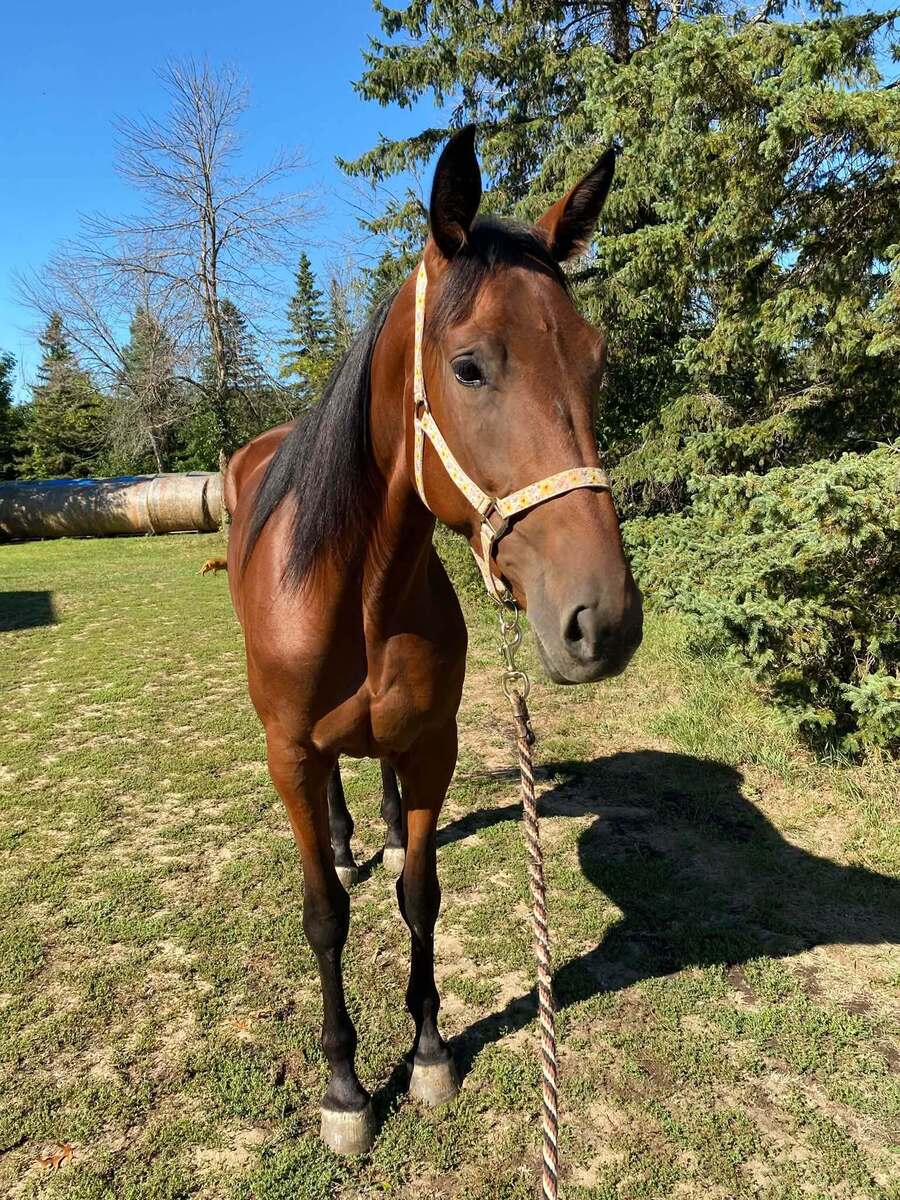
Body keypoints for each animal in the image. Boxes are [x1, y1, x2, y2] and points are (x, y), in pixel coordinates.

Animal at [222, 126, 643, 1155]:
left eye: (596, 362)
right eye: (468, 366)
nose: (602, 619)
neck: (357, 592)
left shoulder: (433, 745)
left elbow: (421, 894)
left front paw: (427, 1052)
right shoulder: (288, 755)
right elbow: (325, 917)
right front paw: (345, 1089)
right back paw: (342, 840)